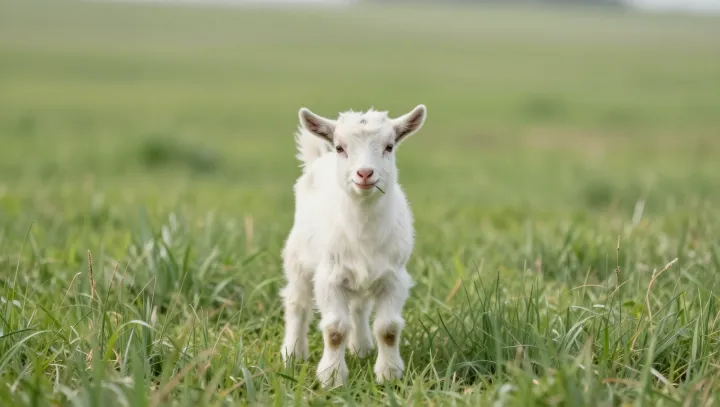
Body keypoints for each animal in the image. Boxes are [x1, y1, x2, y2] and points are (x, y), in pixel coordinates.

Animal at [279, 104, 428, 388]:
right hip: (297, 260)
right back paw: (292, 354)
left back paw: (361, 347)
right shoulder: (329, 277)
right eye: (340, 147)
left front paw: (389, 375)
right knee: (297, 303)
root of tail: (318, 160)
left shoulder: (394, 278)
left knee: (359, 307)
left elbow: (388, 328)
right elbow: (335, 329)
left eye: (389, 146)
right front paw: (332, 378)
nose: (365, 173)